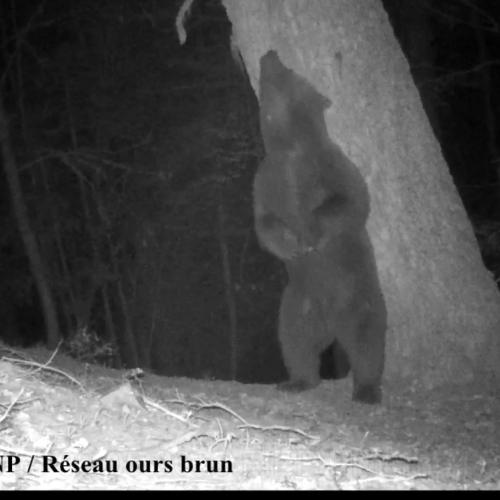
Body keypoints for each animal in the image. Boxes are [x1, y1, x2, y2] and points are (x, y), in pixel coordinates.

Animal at [254, 49, 386, 402]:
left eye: (291, 71)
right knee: (295, 341)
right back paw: (298, 381)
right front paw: (290, 242)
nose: (270, 53)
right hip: (297, 304)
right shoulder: (266, 177)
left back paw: (367, 389)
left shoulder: (329, 163)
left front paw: (310, 230)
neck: (289, 147)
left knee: (368, 340)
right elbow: (263, 221)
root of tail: (332, 326)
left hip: (359, 295)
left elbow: (351, 200)